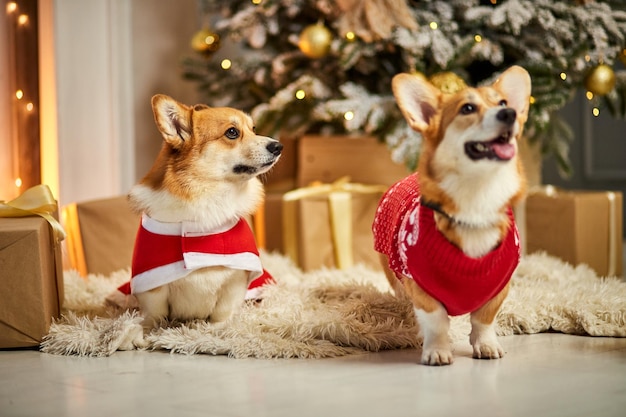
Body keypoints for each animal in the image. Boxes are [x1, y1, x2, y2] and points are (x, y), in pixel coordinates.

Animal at [121, 95, 280, 328]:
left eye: (254, 128)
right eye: (232, 132)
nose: (279, 146)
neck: (206, 197)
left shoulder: (236, 279)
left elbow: (221, 314)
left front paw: (215, 330)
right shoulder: (152, 285)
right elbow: (154, 317)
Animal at [372, 65, 528, 364]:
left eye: (503, 103)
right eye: (467, 108)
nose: (510, 114)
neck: (477, 197)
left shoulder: (498, 289)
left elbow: (483, 319)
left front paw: (485, 345)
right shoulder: (420, 287)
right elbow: (436, 320)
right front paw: (436, 350)